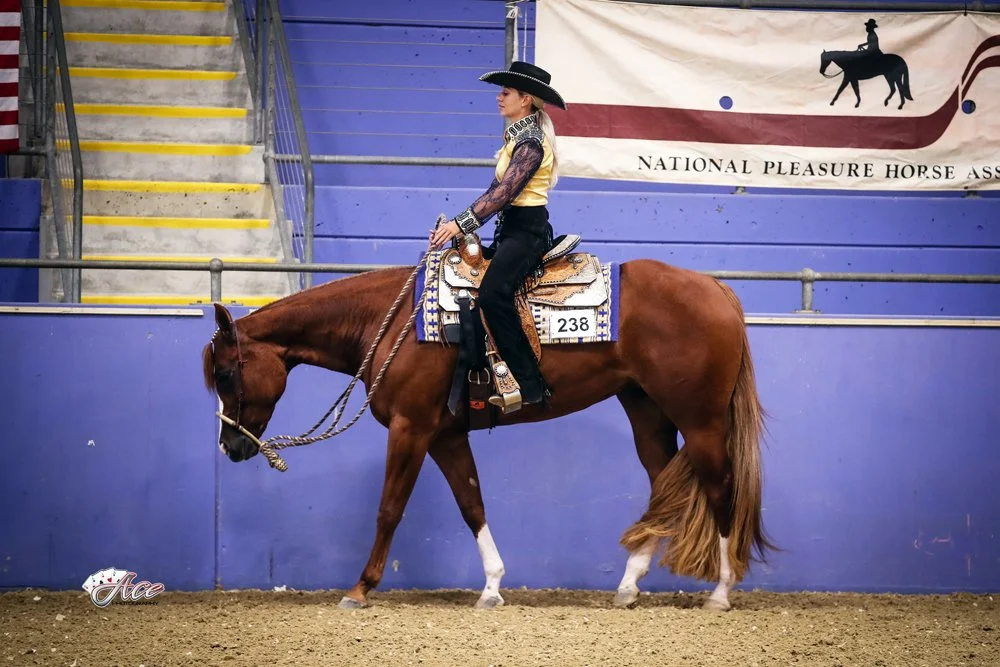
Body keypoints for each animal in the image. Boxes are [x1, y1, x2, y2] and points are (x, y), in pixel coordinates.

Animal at [201, 255, 775, 610]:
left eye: (226, 373)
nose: (230, 447)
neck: (393, 322)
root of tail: (715, 287)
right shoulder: (445, 436)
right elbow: (471, 503)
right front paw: (493, 587)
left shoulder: (411, 428)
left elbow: (390, 507)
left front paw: (360, 589)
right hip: (646, 411)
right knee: (662, 487)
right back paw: (629, 585)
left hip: (700, 421)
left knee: (722, 489)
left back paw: (721, 593)